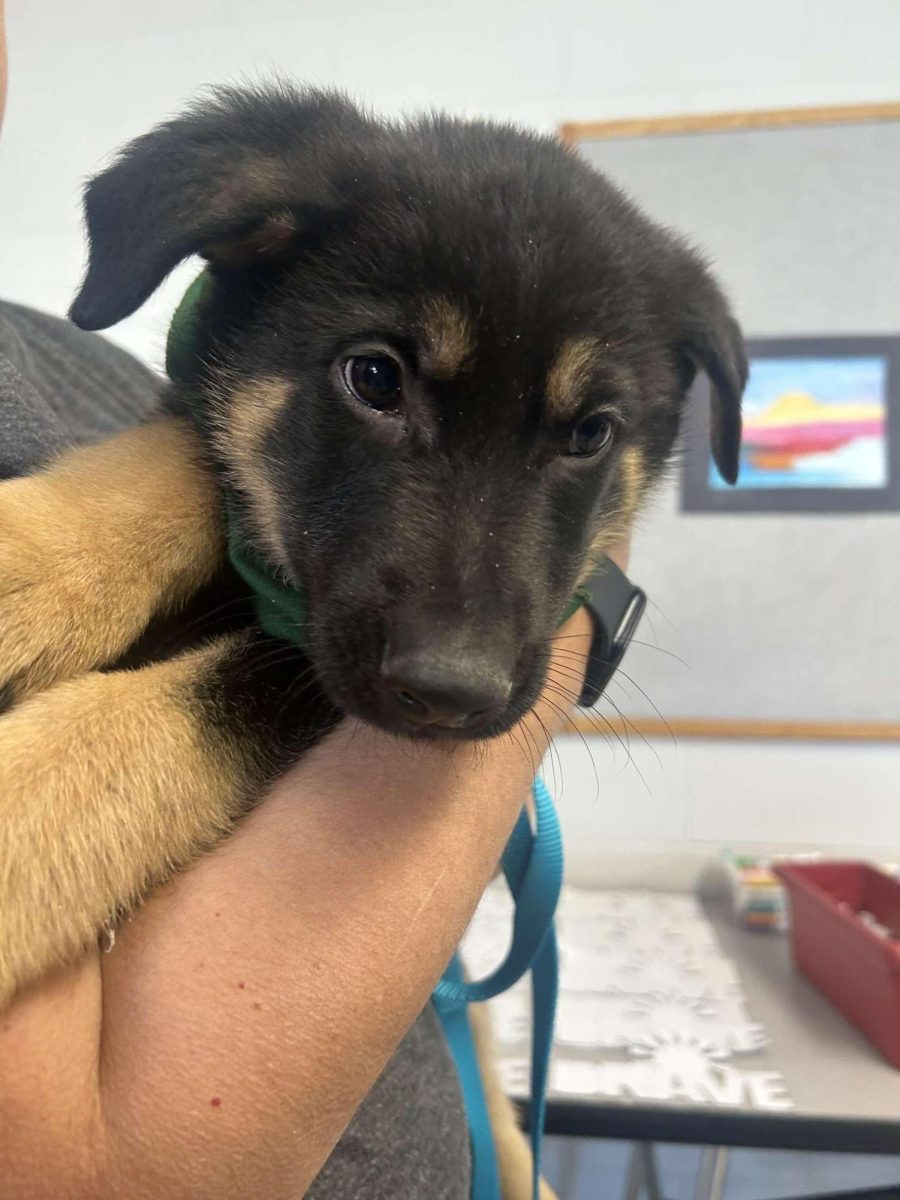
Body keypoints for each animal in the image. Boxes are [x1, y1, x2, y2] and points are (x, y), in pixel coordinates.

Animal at [0, 84, 748, 1200]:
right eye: (374, 378)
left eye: (590, 434)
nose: (455, 693)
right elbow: (179, 461)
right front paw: (29, 562)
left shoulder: (312, 672)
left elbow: (176, 715)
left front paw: (17, 816)